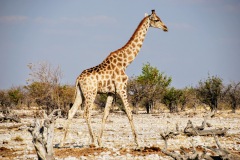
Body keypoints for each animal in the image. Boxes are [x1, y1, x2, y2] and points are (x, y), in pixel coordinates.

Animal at [61, 10, 168, 148]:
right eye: (156, 20)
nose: (166, 28)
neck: (125, 62)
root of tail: (78, 79)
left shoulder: (111, 92)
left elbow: (105, 115)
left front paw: (101, 141)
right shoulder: (122, 88)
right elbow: (129, 113)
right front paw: (138, 141)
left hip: (81, 93)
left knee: (71, 111)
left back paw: (62, 142)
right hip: (91, 93)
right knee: (86, 113)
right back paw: (92, 141)